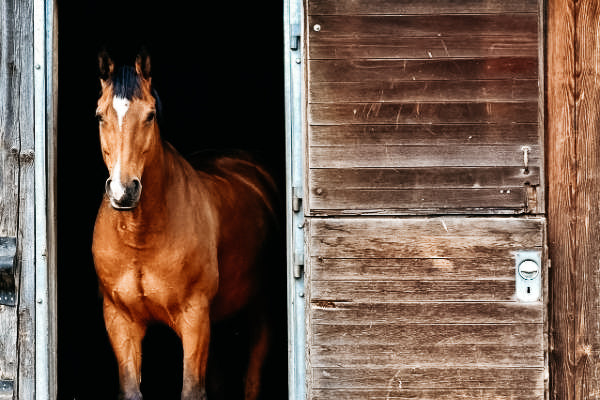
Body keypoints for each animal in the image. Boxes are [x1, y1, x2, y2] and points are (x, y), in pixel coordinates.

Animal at [90, 51, 278, 398]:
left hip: (258, 310)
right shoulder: (120, 319)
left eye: (150, 115)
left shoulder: (194, 317)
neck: (140, 238)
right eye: (99, 116)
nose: (124, 191)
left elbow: (191, 389)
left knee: (252, 378)